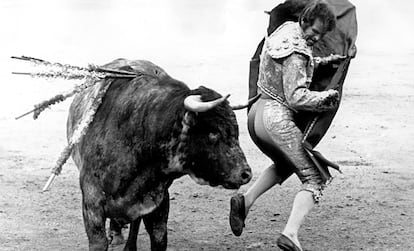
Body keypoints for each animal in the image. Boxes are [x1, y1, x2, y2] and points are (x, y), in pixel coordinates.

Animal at [68, 59, 252, 251]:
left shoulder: (158, 201)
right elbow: (99, 242)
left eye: (236, 131)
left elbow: (158, 238)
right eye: (213, 133)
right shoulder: (92, 205)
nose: (245, 174)